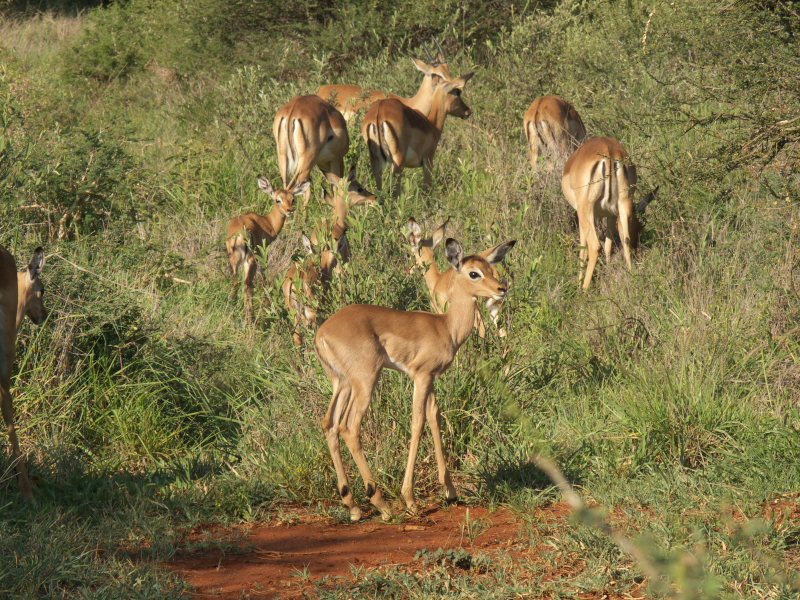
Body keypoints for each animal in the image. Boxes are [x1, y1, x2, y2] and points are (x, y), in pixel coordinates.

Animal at [227, 175, 309, 317]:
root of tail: (240, 234)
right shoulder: (263, 254)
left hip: (234, 260)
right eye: (278, 200)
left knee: (236, 282)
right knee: (248, 284)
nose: (290, 210)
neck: (267, 222)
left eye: (292, 198)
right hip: (251, 259)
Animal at [315, 237, 515, 521]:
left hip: (341, 383)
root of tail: (322, 333)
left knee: (330, 424)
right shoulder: (421, 376)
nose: (501, 288)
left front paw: (450, 491)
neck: (446, 327)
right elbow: (417, 423)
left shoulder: (431, 379)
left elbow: (434, 417)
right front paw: (409, 499)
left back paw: (352, 506)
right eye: (473, 273)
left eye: (490, 267)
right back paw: (382, 505)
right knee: (349, 428)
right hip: (365, 381)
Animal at [561, 137, 656, 290]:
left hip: (585, 209)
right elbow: (608, 245)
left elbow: (583, 249)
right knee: (625, 240)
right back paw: (631, 277)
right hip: (623, 204)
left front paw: (579, 283)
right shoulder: (611, 214)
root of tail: (608, 152)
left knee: (594, 247)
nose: (636, 251)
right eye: (641, 226)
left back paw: (584, 289)